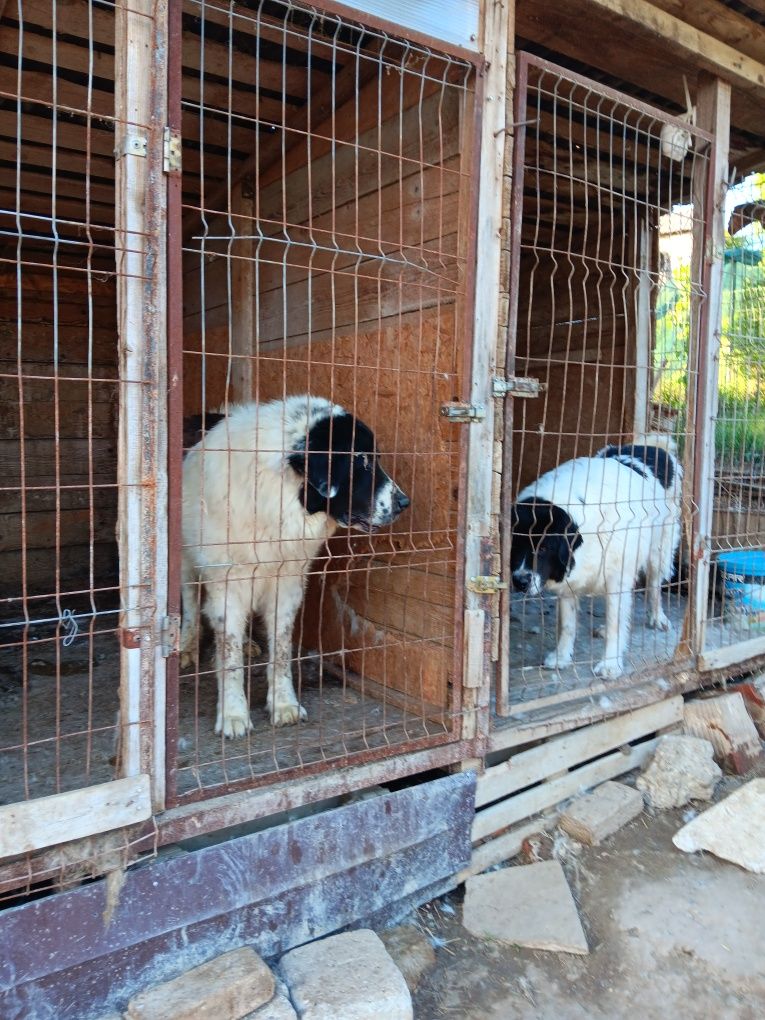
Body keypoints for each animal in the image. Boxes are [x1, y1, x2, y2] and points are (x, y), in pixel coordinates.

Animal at [181, 393, 410, 738]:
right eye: (360, 460)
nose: (403, 503)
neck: (275, 498)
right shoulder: (227, 585)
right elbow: (229, 655)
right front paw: (233, 714)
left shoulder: (287, 583)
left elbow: (281, 649)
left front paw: (283, 704)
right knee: (191, 606)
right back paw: (185, 645)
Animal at [516, 436, 681, 677]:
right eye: (516, 543)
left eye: (544, 547)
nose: (519, 581)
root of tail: (652, 446)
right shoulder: (570, 582)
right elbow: (568, 624)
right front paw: (561, 657)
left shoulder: (617, 577)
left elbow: (615, 622)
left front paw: (610, 664)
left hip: (660, 548)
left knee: (654, 584)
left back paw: (657, 617)